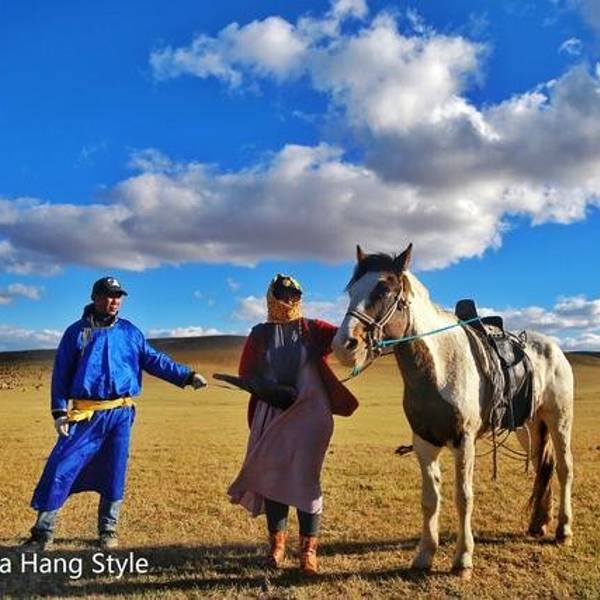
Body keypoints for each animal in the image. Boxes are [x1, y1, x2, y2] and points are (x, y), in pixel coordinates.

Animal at [331, 243, 574, 579]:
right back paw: (539, 523)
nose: (344, 346)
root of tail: (554, 348)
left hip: (559, 420)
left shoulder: (464, 442)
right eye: (352, 290)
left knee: (564, 468)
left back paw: (563, 530)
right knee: (543, 467)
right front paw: (424, 554)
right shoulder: (424, 444)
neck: (440, 368)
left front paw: (463, 559)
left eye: (385, 289)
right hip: (531, 428)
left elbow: (464, 497)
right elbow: (429, 500)